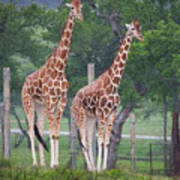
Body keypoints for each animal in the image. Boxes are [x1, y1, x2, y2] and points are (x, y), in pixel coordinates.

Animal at [21, 0, 83, 169]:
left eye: (81, 7)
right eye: (72, 8)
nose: (80, 17)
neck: (59, 69)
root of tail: (24, 84)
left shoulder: (61, 100)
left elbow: (56, 134)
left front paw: (55, 164)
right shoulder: (51, 100)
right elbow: (52, 132)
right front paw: (52, 164)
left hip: (40, 105)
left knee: (40, 129)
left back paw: (42, 163)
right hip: (28, 103)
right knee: (31, 130)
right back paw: (35, 163)